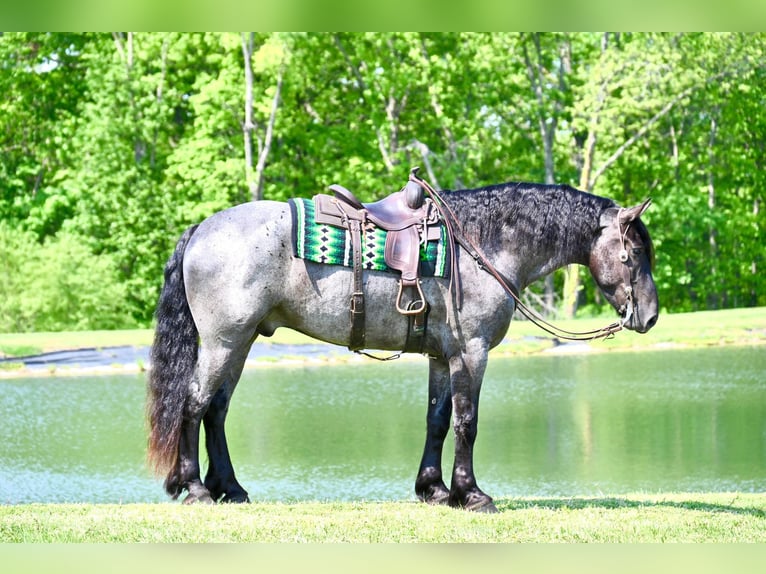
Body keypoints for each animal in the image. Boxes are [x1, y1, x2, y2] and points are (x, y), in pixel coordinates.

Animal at [146, 179, 660, 512]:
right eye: (633, 254)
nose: (651, 316)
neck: (481, 245)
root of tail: (201, 229)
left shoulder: (442, 357)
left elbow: (437, 421)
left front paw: (434, 490)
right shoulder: (472, 352)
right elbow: (467, 422)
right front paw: (471, 494)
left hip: (240, 342)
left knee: (216, 411)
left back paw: (230, 488)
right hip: (223, 342)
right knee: (193, 405)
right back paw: (197, 489)